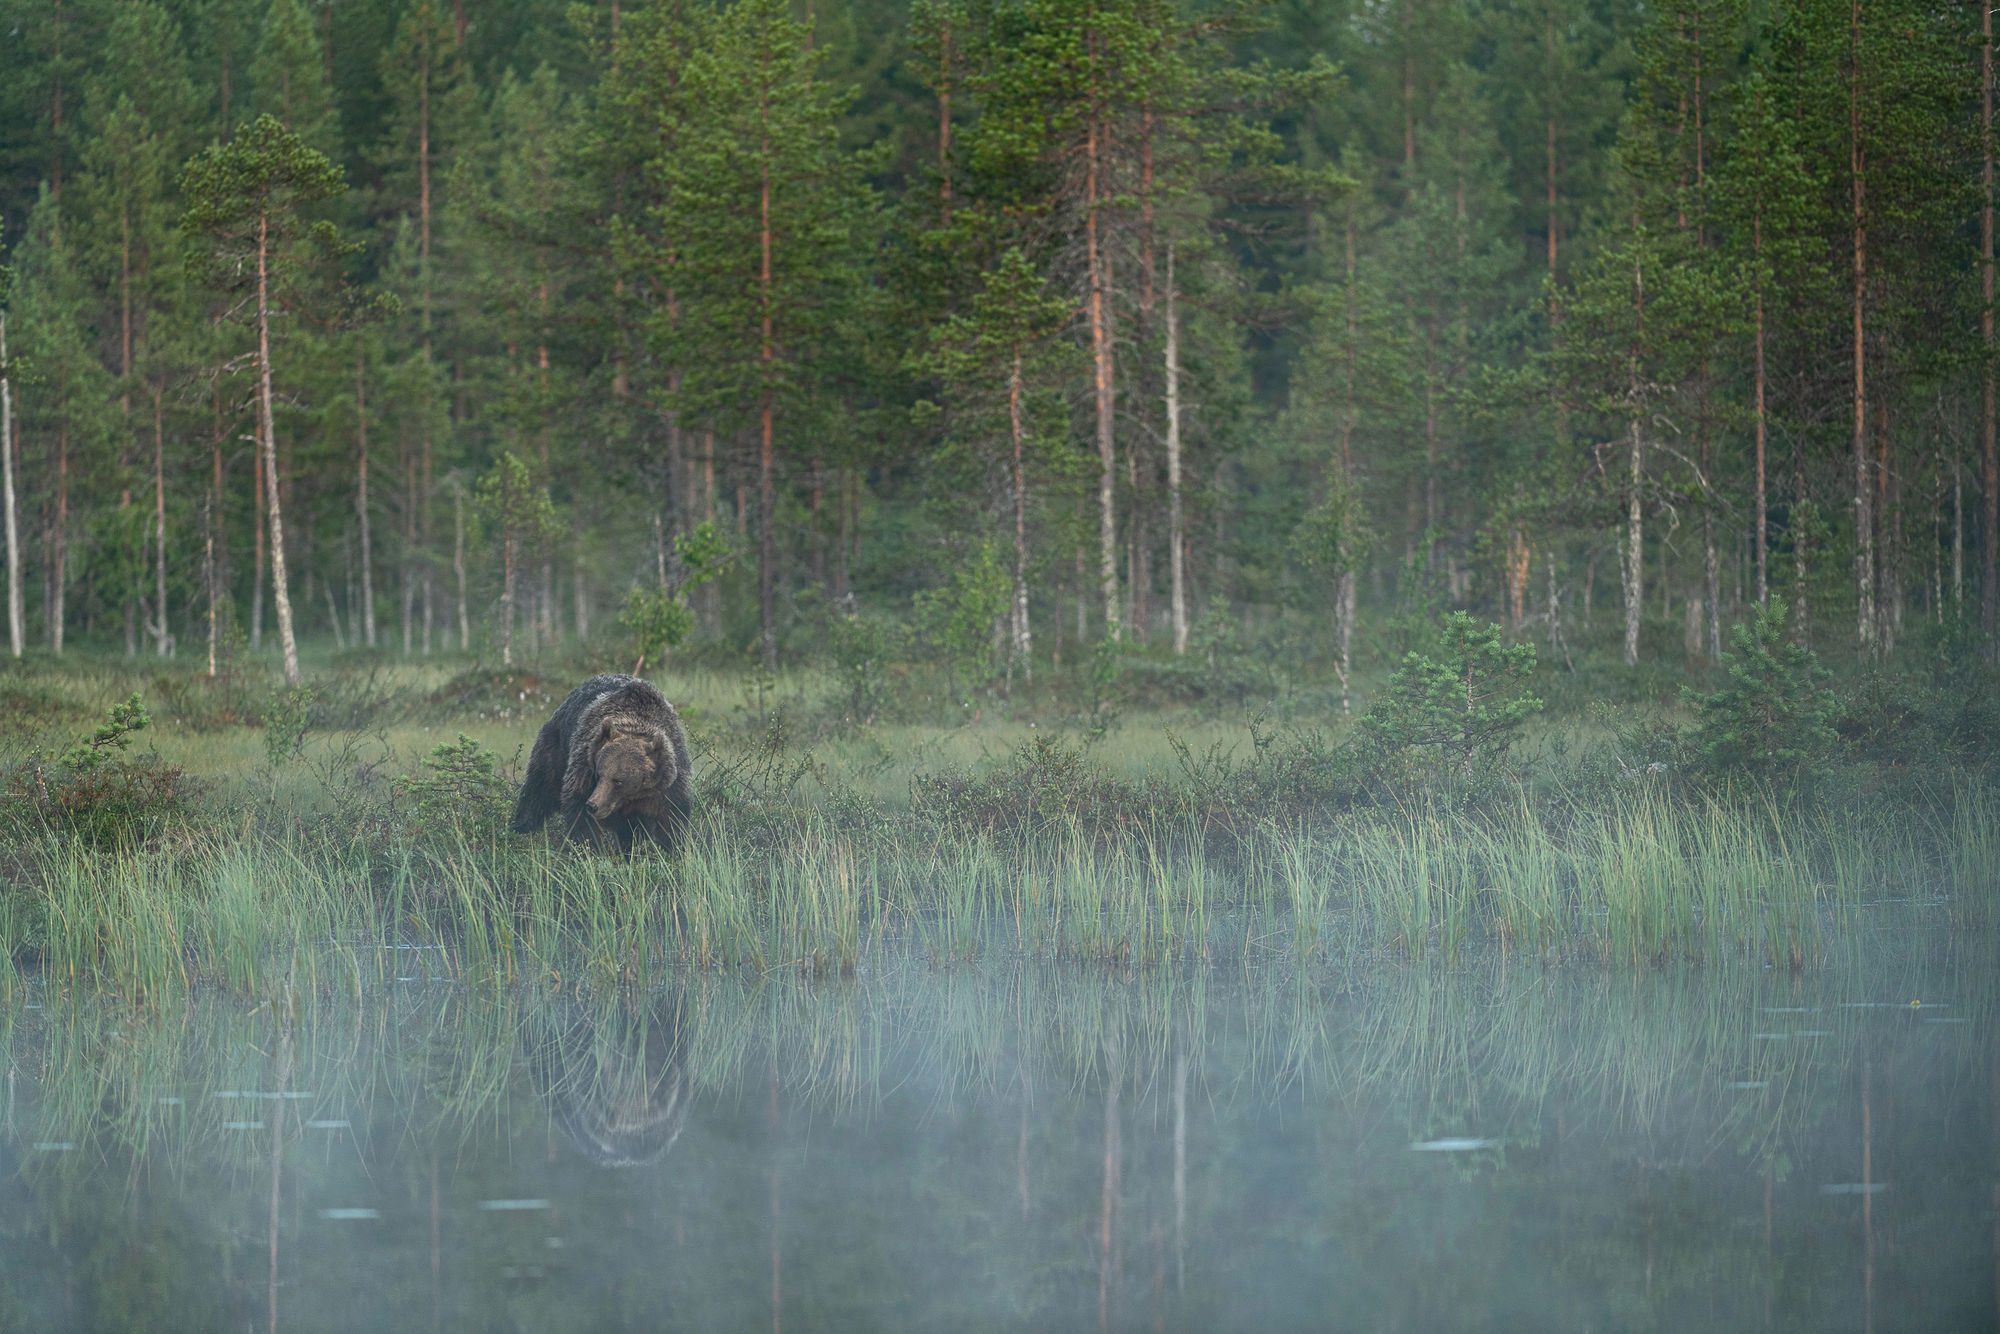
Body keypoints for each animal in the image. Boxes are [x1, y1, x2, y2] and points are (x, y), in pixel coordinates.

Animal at [511, 674, 693, 854]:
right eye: (599, 774)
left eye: (619, 780)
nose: (593, 805)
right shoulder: (584, 766)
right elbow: (580, 816)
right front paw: (589, 850)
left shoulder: (668, 785)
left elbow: (672, 822)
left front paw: (674, 850)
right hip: (555, 748)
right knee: (539, 788)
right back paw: (520, 827)